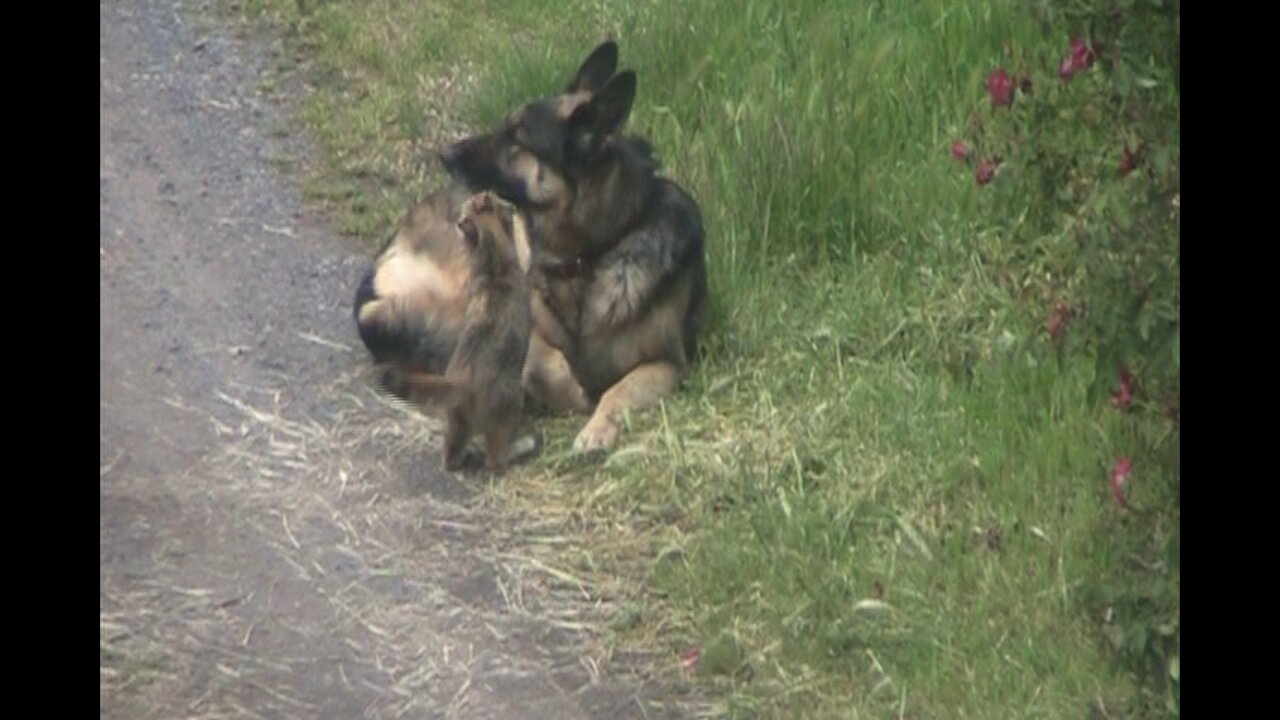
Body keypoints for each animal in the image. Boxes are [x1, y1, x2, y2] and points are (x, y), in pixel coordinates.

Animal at [399, 190, 535, 471]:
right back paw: (522, 446)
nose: (513, 205)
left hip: (454, 421)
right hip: (510, 404)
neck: (495, 267)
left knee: (450, 458)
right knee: (495, 459)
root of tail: (461, 384)